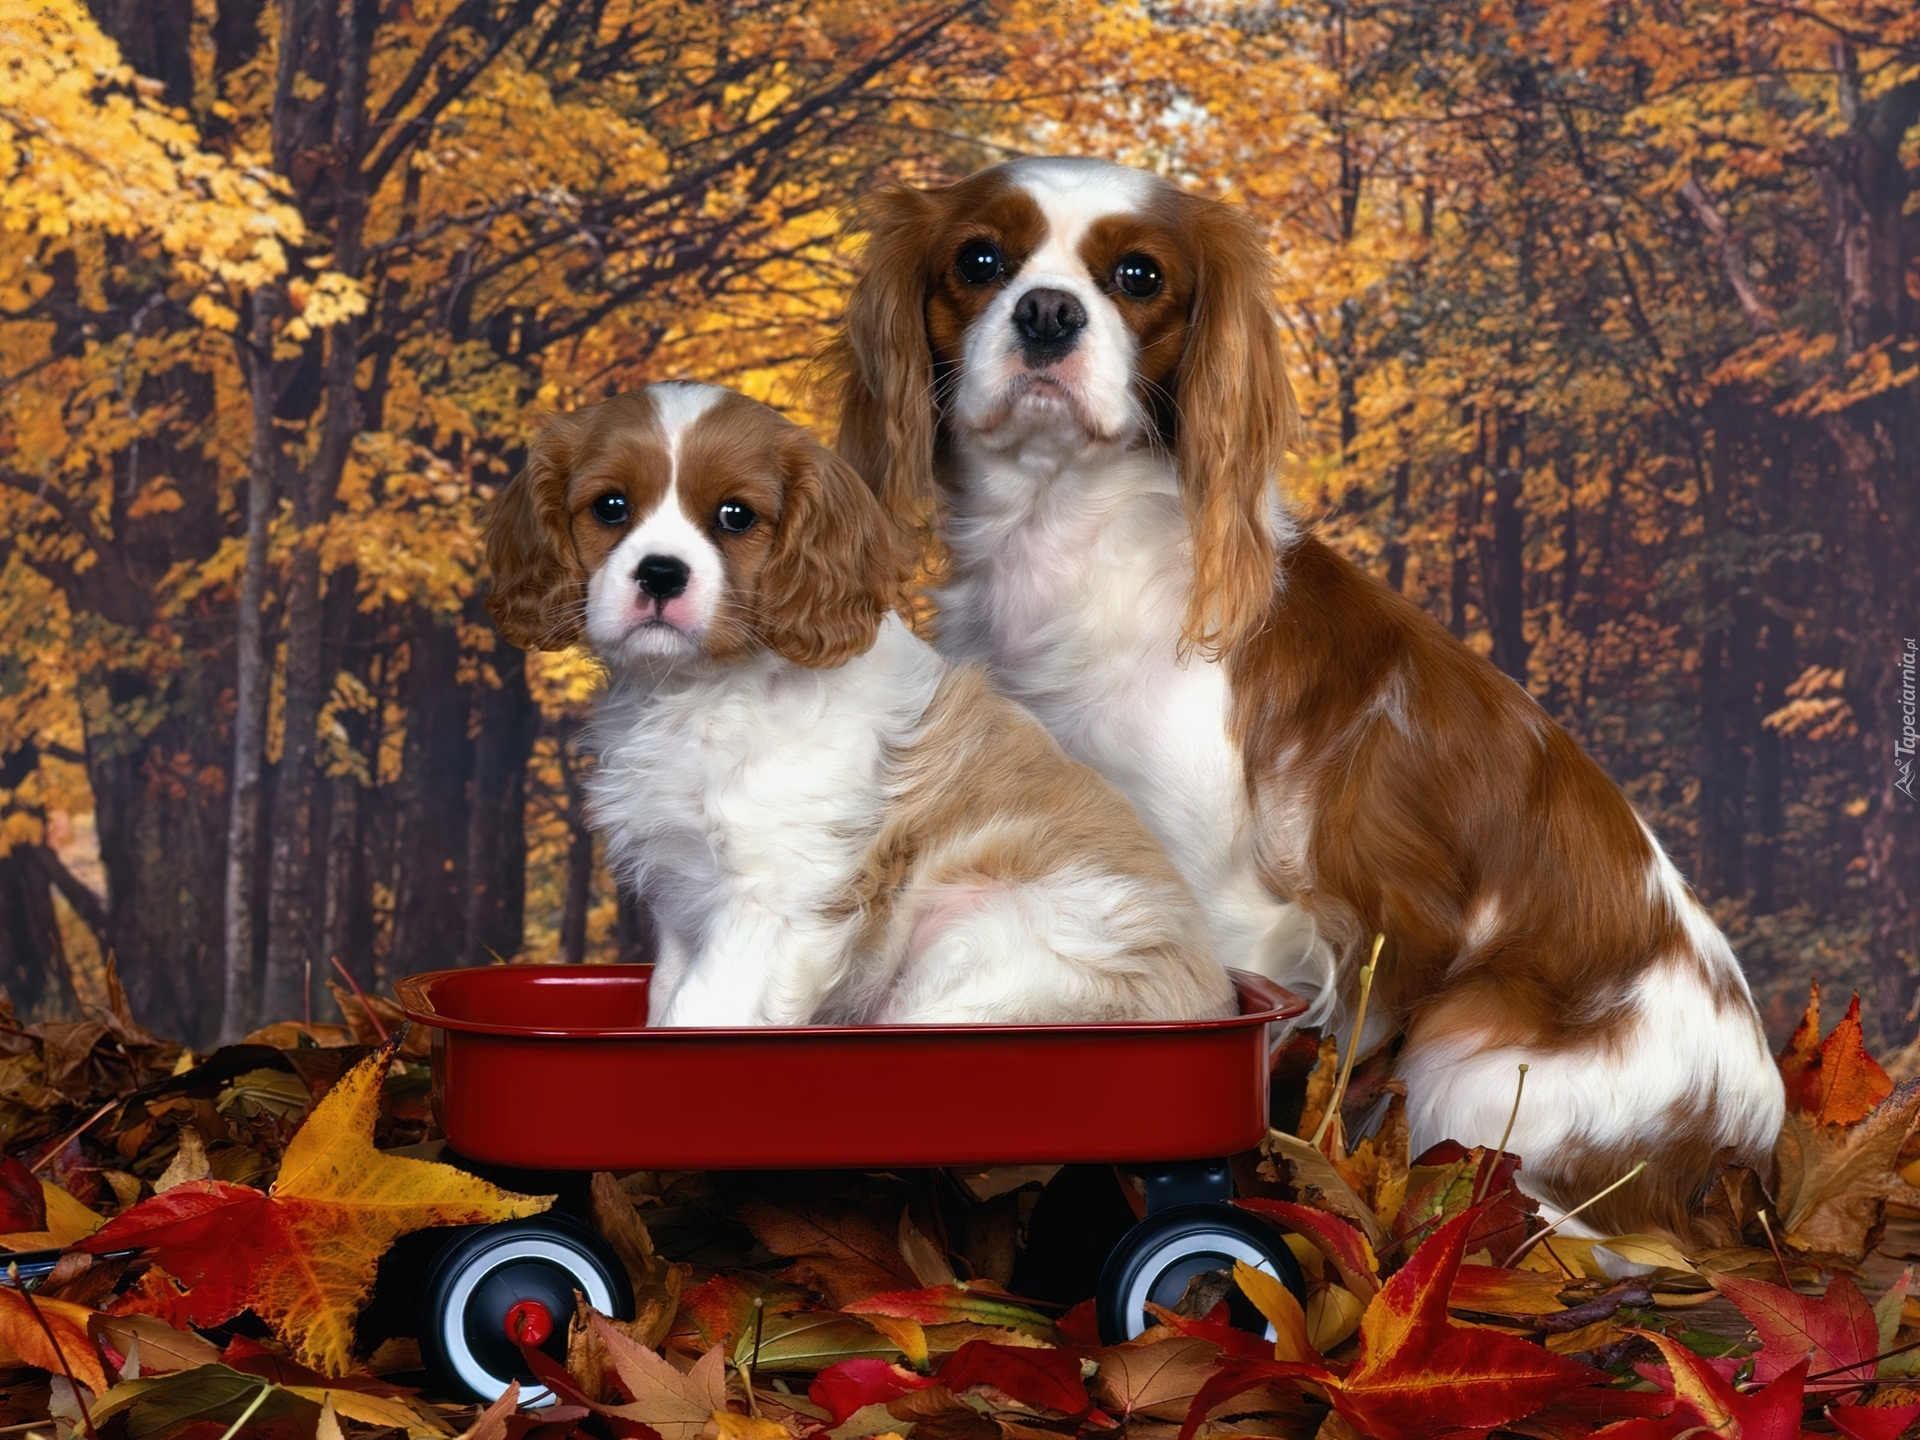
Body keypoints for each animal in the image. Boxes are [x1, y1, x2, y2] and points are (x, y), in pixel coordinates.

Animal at [480, 384, 1228, 1029]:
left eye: (735, 516)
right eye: (610, 507)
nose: (661, 573)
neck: (700, 691)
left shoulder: (770, 897)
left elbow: (697, 1012)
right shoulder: (681, 891)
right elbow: (664, 996)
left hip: (978, 946)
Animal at [829, 160, 1781, 1244]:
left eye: (1140, 275)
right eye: (980, 261)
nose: (1047, 313)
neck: (1062, 532)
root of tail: (1748, 1157)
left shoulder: (1214, 899)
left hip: (1468, 1056)